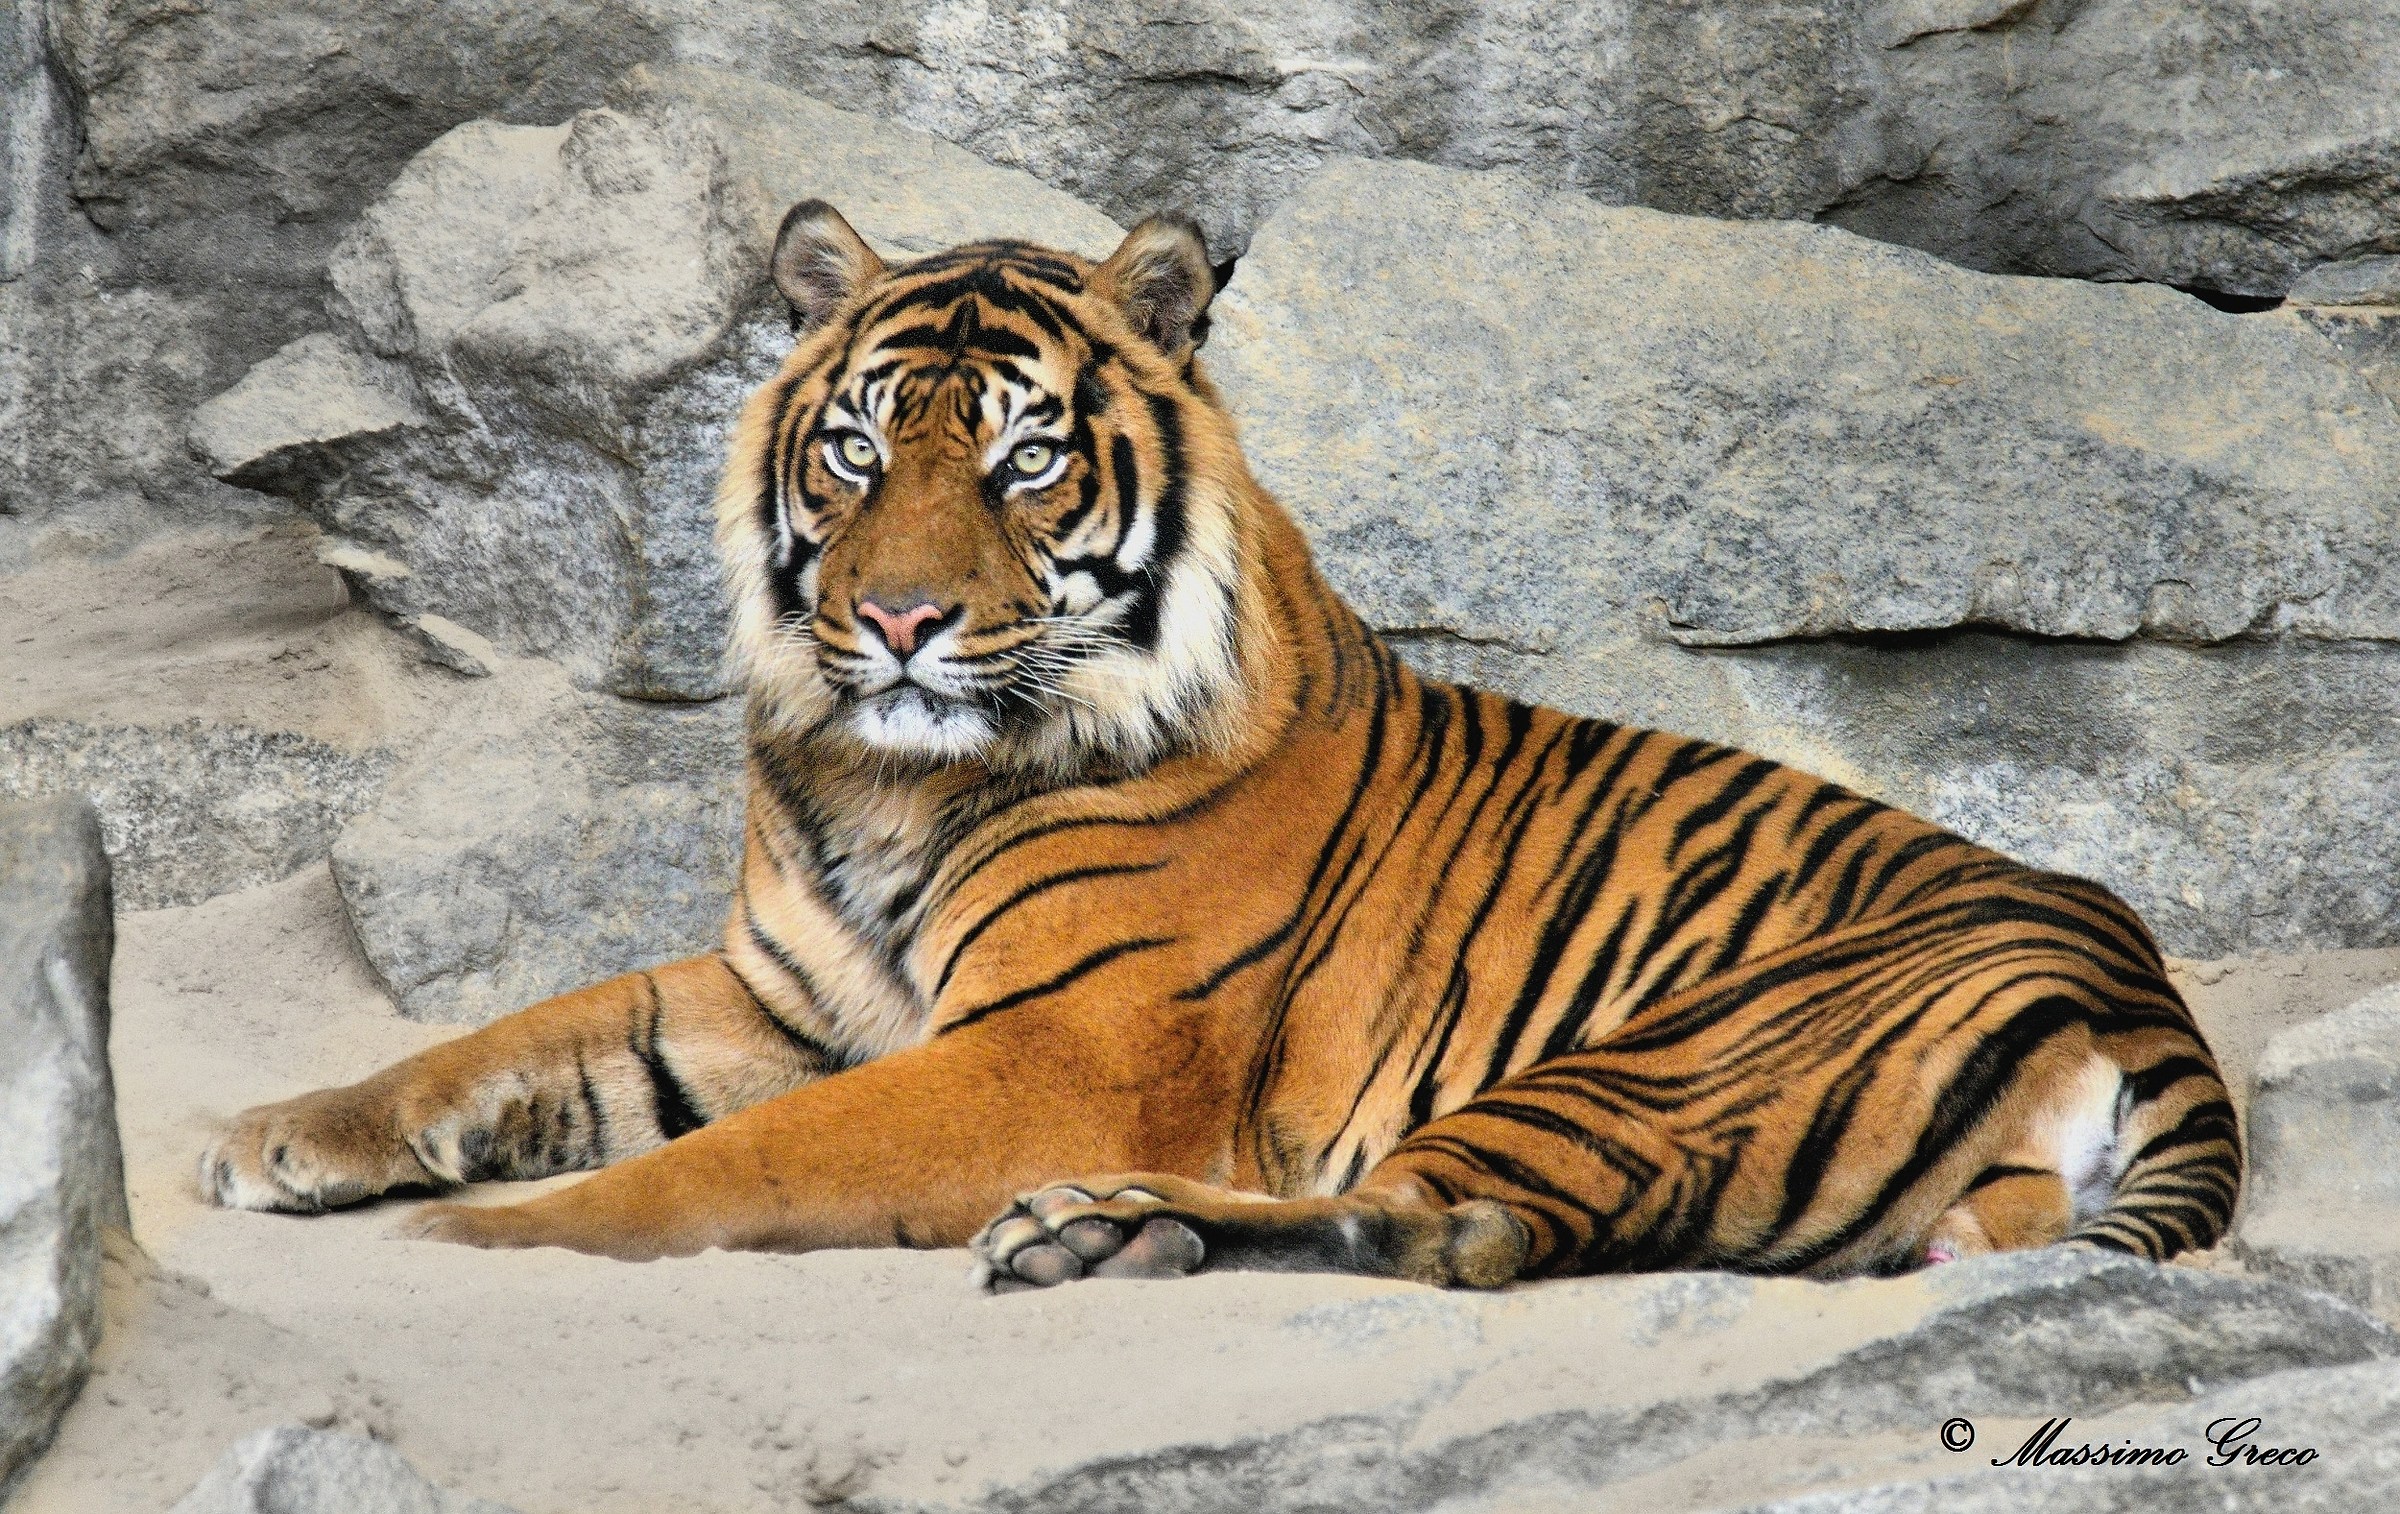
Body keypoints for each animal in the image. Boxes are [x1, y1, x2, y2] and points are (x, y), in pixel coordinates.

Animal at [198, 201, 2241, 1290]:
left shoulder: (1065, 1047)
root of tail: (2142, 988)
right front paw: (277, 1133)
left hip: (1650, 1061)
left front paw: (483, 1248)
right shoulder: (782, 991)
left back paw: (1095, 1232)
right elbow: (507, 1040)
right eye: (856, 447)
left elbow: (726, 1169)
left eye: (1025, 458)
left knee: (1446, 1228)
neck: (892, 773)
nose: (898, 621)